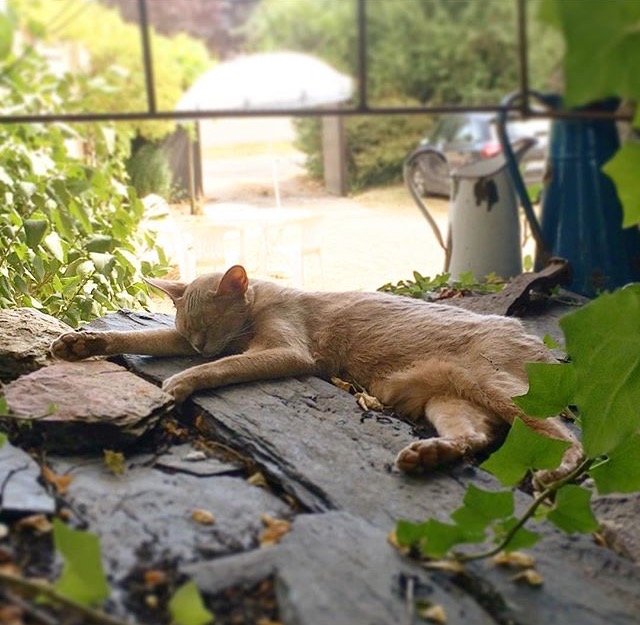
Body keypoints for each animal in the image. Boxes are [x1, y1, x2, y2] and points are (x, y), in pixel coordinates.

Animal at [51, 264, 580, 478]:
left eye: (208, 325)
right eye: (188, 326)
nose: (198, 345)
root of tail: (532, 335)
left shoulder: (289, 350)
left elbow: (223, 365)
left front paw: (179, 382)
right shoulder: (181, 341)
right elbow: (141, 339)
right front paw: (81, 343)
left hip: (499, 385)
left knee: (567, 436)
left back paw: (558, 473)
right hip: (447, 400)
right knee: (478, 436)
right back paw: (427, 455)